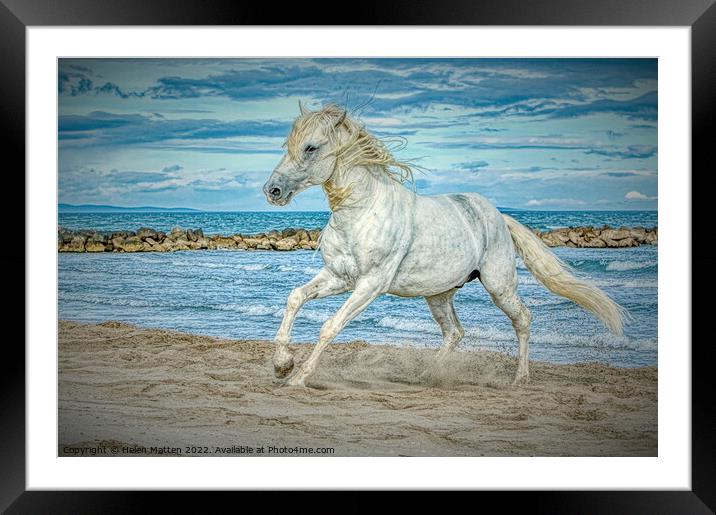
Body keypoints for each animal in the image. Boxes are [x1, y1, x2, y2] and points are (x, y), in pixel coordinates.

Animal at [262, 104, 628, 388]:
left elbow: (330, 327)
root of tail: (497, 215)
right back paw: (427, 374)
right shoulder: (339, 277)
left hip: (499, 285)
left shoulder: (370, 284)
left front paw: (298, 377)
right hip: (438, 294)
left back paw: (520, 378)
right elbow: (295, 298)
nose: (272, 190)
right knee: (455, 333)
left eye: (311, 147)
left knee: (522, 319)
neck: (364, 210)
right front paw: (282, 365)